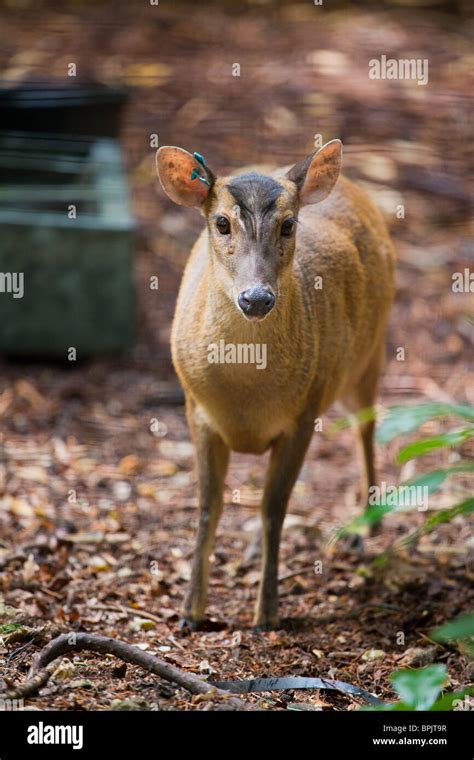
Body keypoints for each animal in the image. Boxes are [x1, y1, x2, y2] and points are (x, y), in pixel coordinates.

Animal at [156, 141, 396, 628]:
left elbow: (274, 508)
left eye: (288, 224)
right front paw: (190, 611)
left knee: (365, 427)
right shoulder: (195, 409)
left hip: (369, 355)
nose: (256, 298)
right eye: (221, 223)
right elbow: (209, 505)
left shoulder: (303, 416)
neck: (246, 392)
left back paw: (364, 525)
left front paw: (266, 614)